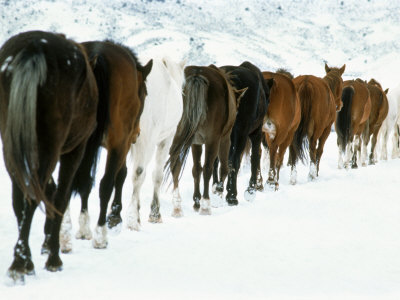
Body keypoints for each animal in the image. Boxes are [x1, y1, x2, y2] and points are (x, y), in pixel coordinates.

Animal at [0, 29, 99, 282]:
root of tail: (35, 47)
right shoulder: (75, 150)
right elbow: (60, 198)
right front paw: (53, 256)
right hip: (51, 146)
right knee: (34, 197)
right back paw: (23, 263)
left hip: (11, 142)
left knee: (21, 197)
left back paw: (23, 260)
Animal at [57, 39, 154, 251]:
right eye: (144, 93)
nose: (137, 133)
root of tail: (98, 57)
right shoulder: (120, 143)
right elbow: (119, 176)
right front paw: (112, 218)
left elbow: (85, 182)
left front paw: (83, 227)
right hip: (118, 141)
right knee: (106, 184)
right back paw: (100, 235)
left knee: (68, 182)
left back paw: (64, 234)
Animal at [106, 57, 186, 231]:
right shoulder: (164, 140)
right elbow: (156, 175)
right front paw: (153, 213)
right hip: (147, 142)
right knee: (139, 173)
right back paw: (131, 220)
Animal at [164, 65, 245, 216]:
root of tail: (197, 75)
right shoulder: (224, 139)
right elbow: (223, 167)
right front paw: (218, 192)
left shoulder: (195, 142)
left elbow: (196, 169)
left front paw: (196, 201)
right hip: (213, 140)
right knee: (208, 168)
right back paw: (206, 204)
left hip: (178, 135)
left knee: (176, 164)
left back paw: (177, 206)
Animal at [216, 62, 276, 205]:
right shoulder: (256, 132)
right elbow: (255, 156)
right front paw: (251, 189)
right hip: (241, 134)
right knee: (234, 160)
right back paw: (232, 196)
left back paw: (217, 190)